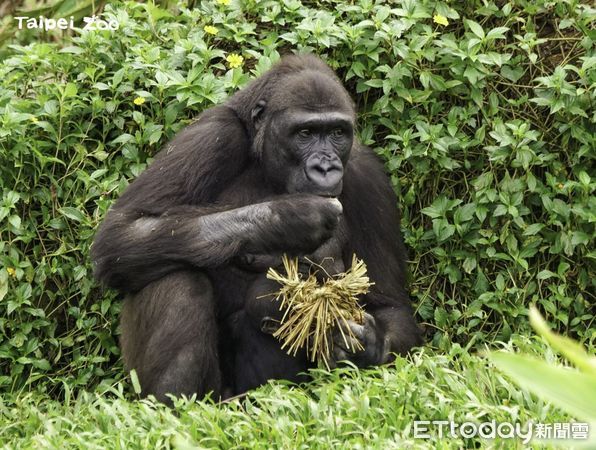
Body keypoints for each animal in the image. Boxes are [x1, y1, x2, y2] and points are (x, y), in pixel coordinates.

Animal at [91, 53, 422, 404]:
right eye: (305, 133)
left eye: (337, 132)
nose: (325, 166)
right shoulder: (215, 134)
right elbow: (122, 231)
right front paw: (287, 219)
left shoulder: (367, 175)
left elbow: (390, 306)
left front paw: (364, 342)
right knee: (174, 276)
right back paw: (173, 407)